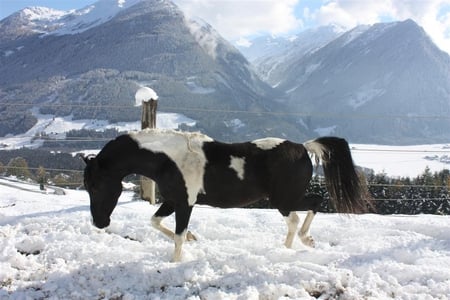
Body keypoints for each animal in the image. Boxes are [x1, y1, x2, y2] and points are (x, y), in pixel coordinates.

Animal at [82, 127, 368, 262]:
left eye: (94, 185)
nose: (99, 223)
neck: (168, 159)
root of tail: (302, 147)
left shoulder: (185, 203)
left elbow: (178, 235)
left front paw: (176, 261)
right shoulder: (173, 200)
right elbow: (155, 222)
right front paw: (194, 239)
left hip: (283, 200)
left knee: (303, 212)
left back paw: (298, 244)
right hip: (285, 199)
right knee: (309, 208)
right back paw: (299, 244)